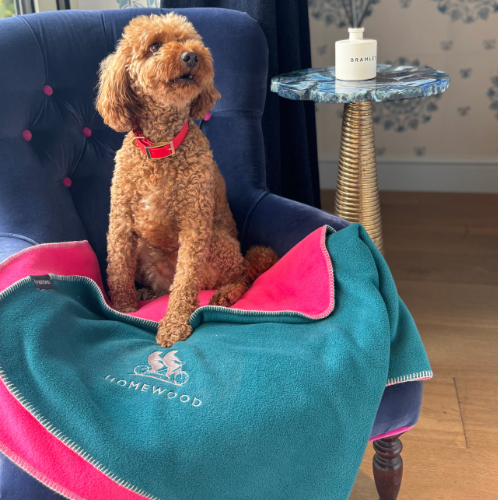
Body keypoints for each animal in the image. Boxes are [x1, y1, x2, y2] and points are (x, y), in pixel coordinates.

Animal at [96, 13, 278, 348]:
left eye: (188, 40)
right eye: (154, 46)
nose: (191, 56)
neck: (161, 147)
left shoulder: (194, 224)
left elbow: (184, 284)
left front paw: (174, 324)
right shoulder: (121, 221)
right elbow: (117, 268)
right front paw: (124, 308)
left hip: (217, 241)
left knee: (241, 276)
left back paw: (225, 294)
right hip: (146, 248)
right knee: (165, 285)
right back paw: (147, 293)